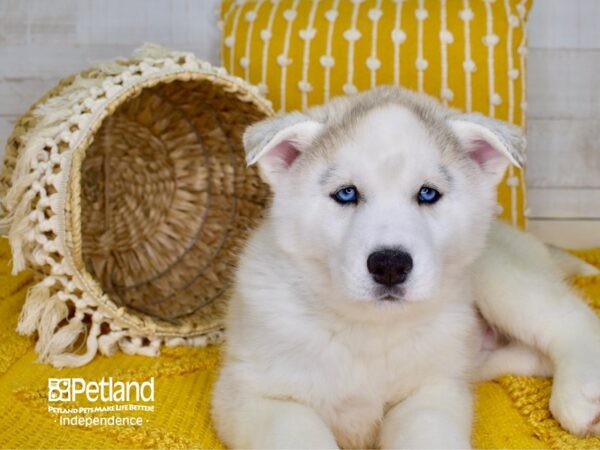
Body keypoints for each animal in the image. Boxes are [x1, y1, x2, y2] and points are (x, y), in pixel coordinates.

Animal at [212, 86, 600, 448]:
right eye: (346, 194)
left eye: (428, 194)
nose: (389, 265)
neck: (369, 330)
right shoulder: (255, 394)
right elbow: (299, 433)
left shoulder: (430, 393)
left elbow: (428, 433)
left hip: (498, 278)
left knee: (571, 320)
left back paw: (581, 396)